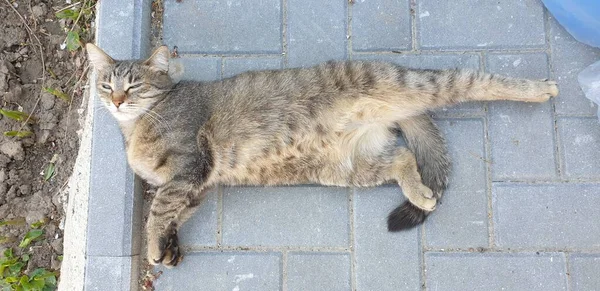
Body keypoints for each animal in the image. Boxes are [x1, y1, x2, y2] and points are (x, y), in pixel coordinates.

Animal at [84, 42, 556, 268]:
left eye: (134, 85)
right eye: (106, 84)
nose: (116, 101)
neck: (136, 128)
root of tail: (397, 111)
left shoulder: (188, 168)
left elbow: (158, 212)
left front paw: (152, 248)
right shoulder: (195, 186)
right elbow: (175, 216)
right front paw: (170, 248)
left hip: (420, 84)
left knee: (477, 79)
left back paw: (538, 89)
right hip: (350, 166)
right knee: (404, 160)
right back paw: (421, 195)